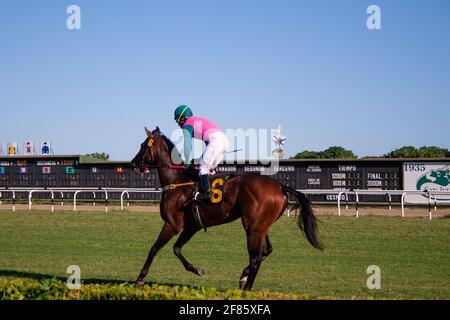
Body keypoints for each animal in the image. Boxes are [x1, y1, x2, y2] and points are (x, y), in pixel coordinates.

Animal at [130, 127, 324, 290]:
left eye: (142, 146)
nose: (133, 163)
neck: (176, 181)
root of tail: (280, 186)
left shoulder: (172, 224)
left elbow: (154, 248)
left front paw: (139, 279)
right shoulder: (192, 226)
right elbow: (177, 248)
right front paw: (197, 269)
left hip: (252, 228)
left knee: (255, 258)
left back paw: (246, 288)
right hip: (262, 226)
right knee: (266, 251)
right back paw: (244, 276)